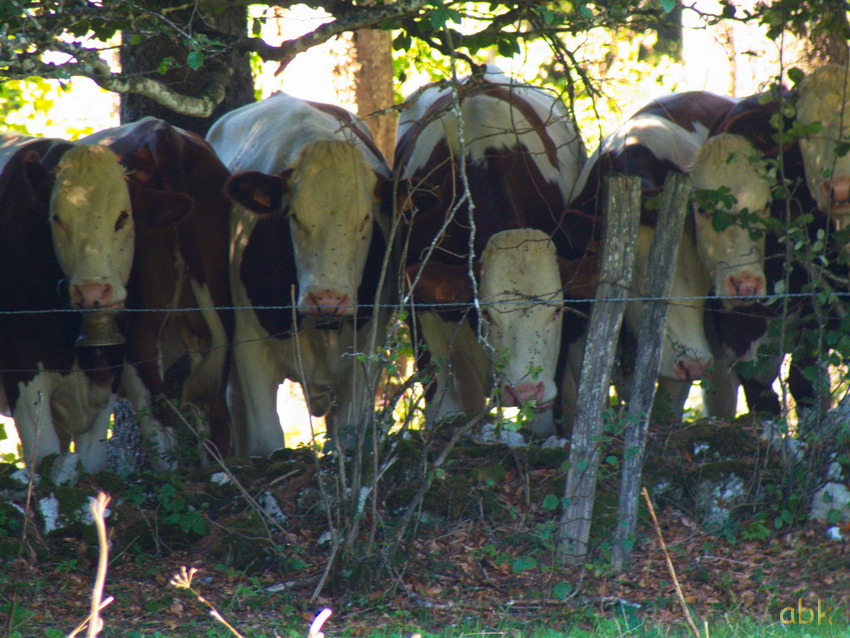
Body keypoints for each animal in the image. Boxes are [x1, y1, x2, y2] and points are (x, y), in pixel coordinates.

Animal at [205, 92, 394, 458]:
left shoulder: (368, 346)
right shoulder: (249, 347)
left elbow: (350, 436)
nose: (328, 298)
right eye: (293, 217)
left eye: (365, 219)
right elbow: (266, 441)